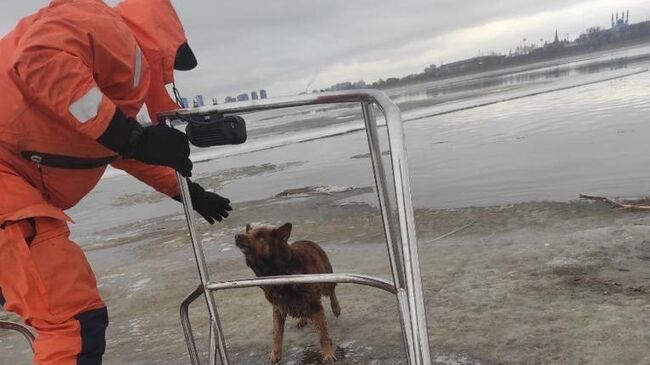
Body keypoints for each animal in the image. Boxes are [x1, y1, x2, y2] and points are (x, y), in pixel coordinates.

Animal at [237, 222, 340, 362]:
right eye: (247, 233)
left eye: (259, 236)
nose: (237, 236)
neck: (279, 271)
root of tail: (309, 241)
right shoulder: (278, 307)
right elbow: (277, 335)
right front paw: (275, 354)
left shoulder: (314, 303)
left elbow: (323, 335)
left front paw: (328, 353)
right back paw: (303, 319)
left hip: (325, 279)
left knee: (331, 291)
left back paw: (336, 308)